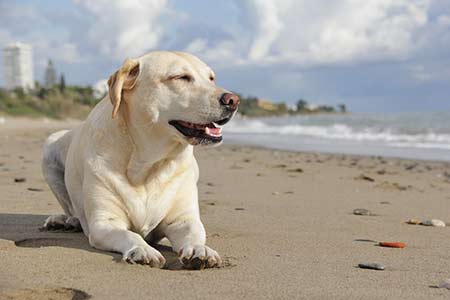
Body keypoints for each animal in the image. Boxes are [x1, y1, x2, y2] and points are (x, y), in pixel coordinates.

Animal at [40, 50, 241, 268]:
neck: (149, 165)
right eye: (181, 77)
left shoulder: (183, 219)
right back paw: (66, 221)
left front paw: (200, 249)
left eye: (211, 78)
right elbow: (130, 235)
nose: (233, 100)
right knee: (72, 209)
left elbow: (195, 232)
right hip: (50, 145)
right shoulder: (104, 223)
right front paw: (142, 249)